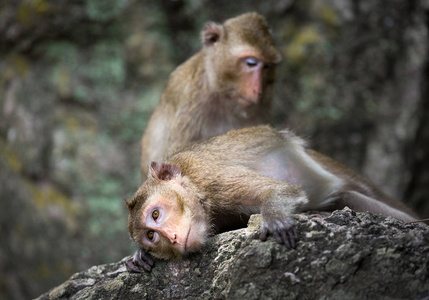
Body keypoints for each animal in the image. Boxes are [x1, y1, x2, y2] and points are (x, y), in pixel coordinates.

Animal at [124, 125, 418, 274]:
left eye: (155, 214)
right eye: (151, 236)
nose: (171, 238)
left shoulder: (212, 179)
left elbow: (281, 191)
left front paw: (275, 218)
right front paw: (139, 255)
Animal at [140, 12, 280, 180]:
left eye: (267, 66)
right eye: (251, 63)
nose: (258, 90)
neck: (221, 93)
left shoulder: (265, 103)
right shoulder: (189, 102)